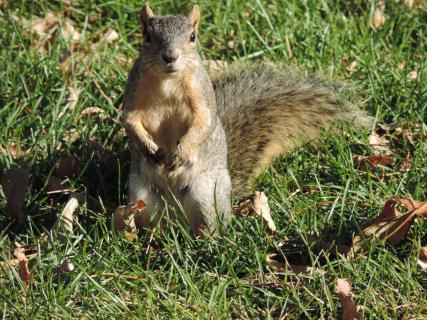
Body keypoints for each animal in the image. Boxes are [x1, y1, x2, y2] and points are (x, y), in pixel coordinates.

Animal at [122, 3, 372, 235]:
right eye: (147, 35)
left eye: (192, 36)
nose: (170, 56)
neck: (168, 81)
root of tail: (176, 216)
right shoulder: (134, 91)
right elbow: (130, 121)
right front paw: (149, 148)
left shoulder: (201, 95)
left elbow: (204, 122)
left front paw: (181, 152)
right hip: (142, 197)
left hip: (205, 194)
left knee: (211, 224)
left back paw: (208, 240)